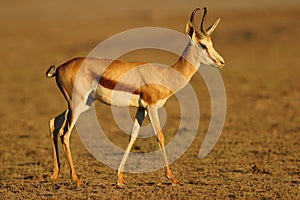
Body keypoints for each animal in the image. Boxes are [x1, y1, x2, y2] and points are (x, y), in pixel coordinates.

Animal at [45, 7, 225, 186]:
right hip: (77, 104)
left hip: (82, 104)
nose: (221, 62)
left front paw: (120, 178)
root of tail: (59, 69)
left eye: (211, 43)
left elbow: (132, 137)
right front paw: (171, 177)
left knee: (54, 122)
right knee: (65, 133)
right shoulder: (151, 107)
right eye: (202, 44)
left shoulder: (141, 109)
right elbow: (160, 136)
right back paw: (76, 179)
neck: (164, 76)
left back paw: (55, 174)